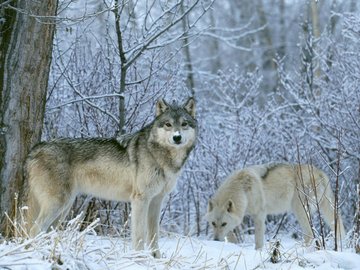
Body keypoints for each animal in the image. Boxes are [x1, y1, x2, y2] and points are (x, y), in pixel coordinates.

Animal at [24, 97, 197, 258]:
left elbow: (154, 235)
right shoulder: (140, 199)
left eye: (184, 124)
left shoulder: (156, 200)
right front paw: (139, 258)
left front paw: (156, 259)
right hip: (58, 205)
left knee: (45, 232)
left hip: (64, 209)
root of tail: (35, 149)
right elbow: (139, 235)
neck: (161, 156)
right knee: (34, 230)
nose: (177, 137)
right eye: (168, 124)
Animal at [205, 162, 346, 249]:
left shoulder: (259, 215)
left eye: (223, 224)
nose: (215, 240)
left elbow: (258, 240)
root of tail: (320, 172)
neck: (242, 190)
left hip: (299, 210)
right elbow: (231, 234)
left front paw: (258, 252)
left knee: (310, 233)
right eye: (213, 224)